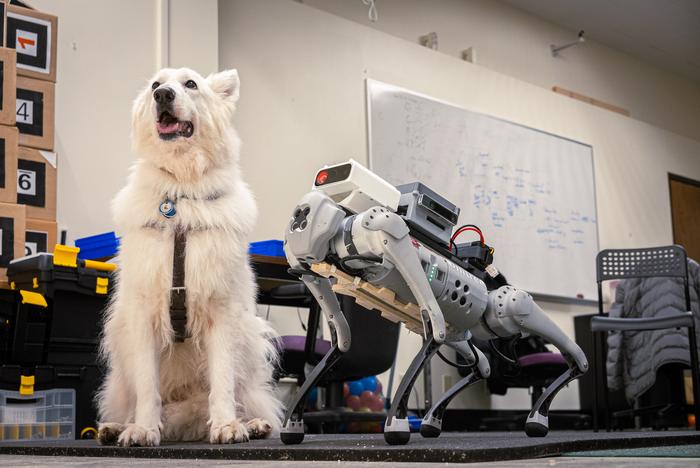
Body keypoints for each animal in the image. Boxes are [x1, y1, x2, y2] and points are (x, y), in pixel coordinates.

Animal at [96, 66, 282, 446]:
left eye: (191, 84)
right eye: (155, 85)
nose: (163, 95)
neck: (180, 194)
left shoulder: (221, 310)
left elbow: (223, 381)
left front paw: (227, 426)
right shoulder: (143, 313)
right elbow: (147, 386)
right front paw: (143, 429)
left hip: (249, 341)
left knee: (246, 395)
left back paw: (253, 423)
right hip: (120, 358)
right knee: (131, 399)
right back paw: (116, 427)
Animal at [282, 159, 588, 444]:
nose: (300, 217)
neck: (347, 226)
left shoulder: (388, 231)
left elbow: (435, 328)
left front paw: (397, 425)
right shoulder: (310, 269)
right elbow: (341, 340)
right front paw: (292, 424)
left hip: (494, 311)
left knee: (518, 307)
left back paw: (546, 407)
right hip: (463, 332)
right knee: (481, 364)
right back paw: (434, 420)